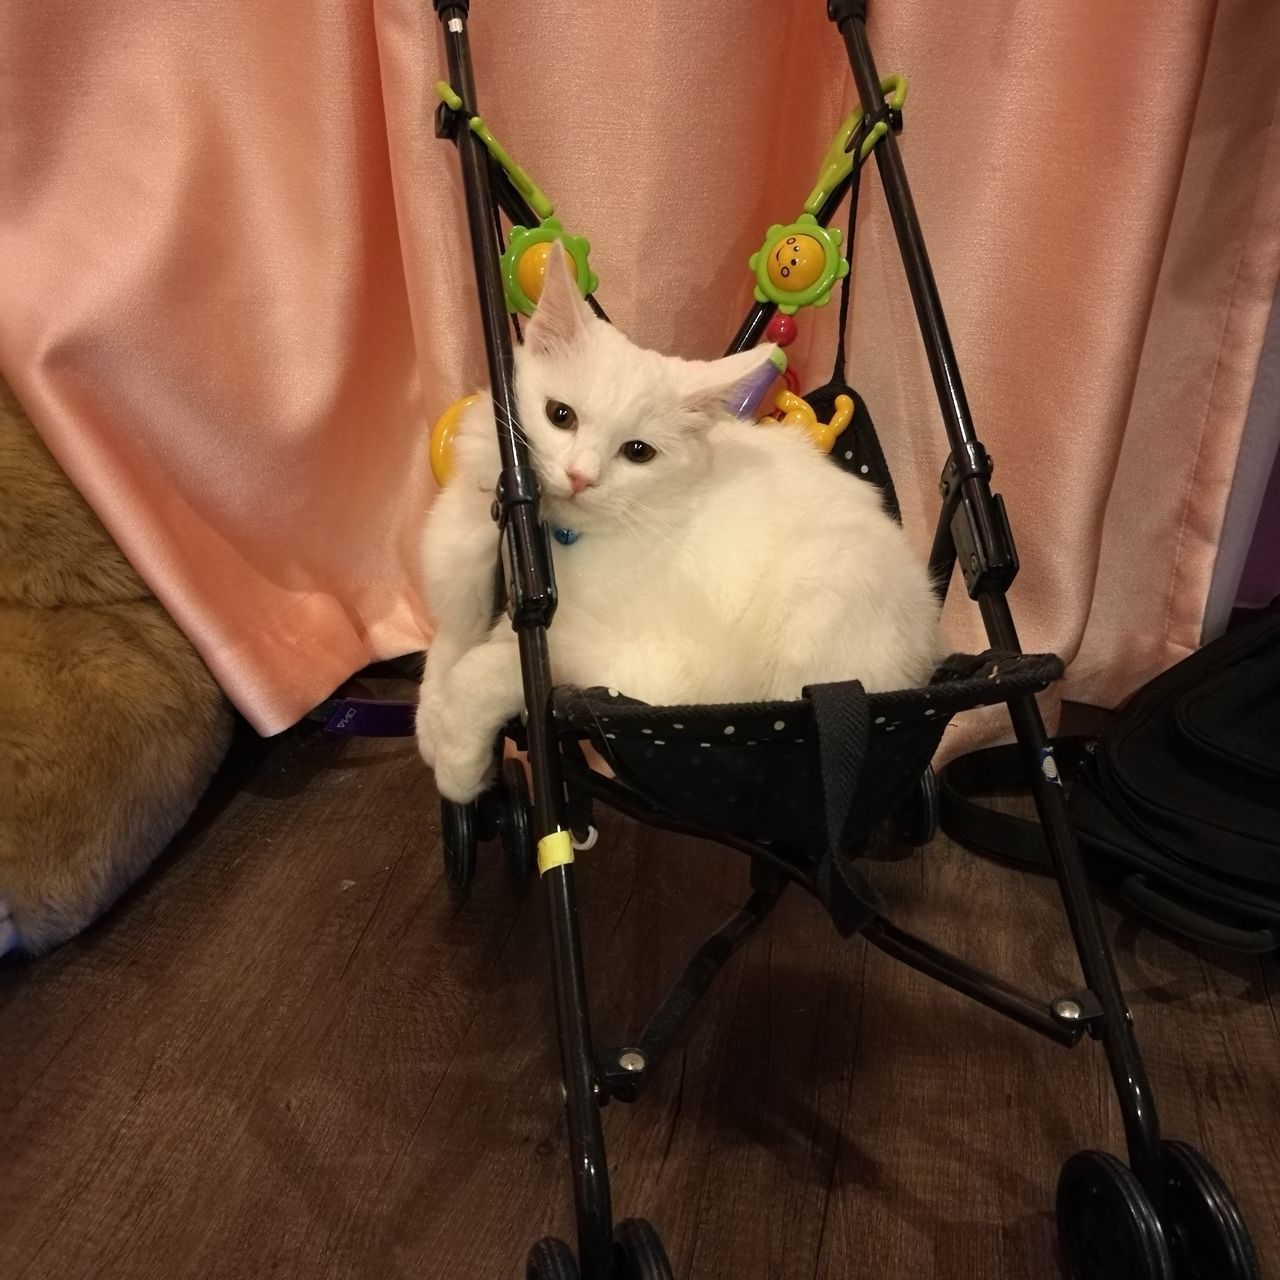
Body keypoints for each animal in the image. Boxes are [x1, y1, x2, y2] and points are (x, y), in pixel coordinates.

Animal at [414, 245, 947, 803]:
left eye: (638, 452)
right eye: (560, 415)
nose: (582, 477)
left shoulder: (639, 665)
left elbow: (492, 668)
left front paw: (457, 763)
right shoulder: (460, 587)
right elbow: (445, 649)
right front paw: (432, 726)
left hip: (824, 582)